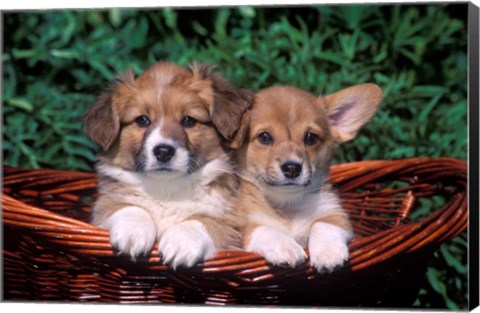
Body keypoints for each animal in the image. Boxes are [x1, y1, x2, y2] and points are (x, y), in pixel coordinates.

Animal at [84, 61, 253, 268]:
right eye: (142, 120)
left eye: (188, 120)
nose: (163, 151)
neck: (166, 187)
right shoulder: (104, 206)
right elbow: (128, 206)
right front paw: (133, 232)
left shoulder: (230, 221)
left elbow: (202, 220)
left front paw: (181, 242)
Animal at [232, 83, 382, 270]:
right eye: (264, 137)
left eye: (311, 137)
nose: (292, 168)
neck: (288, 205)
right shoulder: (245, 227)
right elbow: (267, 229)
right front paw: (286, 248)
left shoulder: (336, 215)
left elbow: (322, 225)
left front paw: (328, 253)